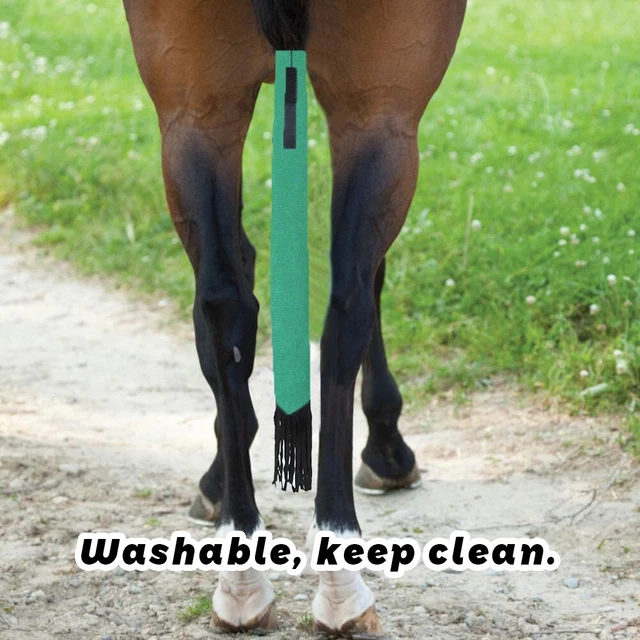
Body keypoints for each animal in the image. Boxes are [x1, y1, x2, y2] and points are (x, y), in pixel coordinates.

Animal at [123, 0, 466, 634]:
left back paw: (242, 573)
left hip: (197, 110)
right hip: (380, 113)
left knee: (225, 304)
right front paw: (386, 446)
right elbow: (366, 282)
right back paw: (340, 566)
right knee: (347, 300)